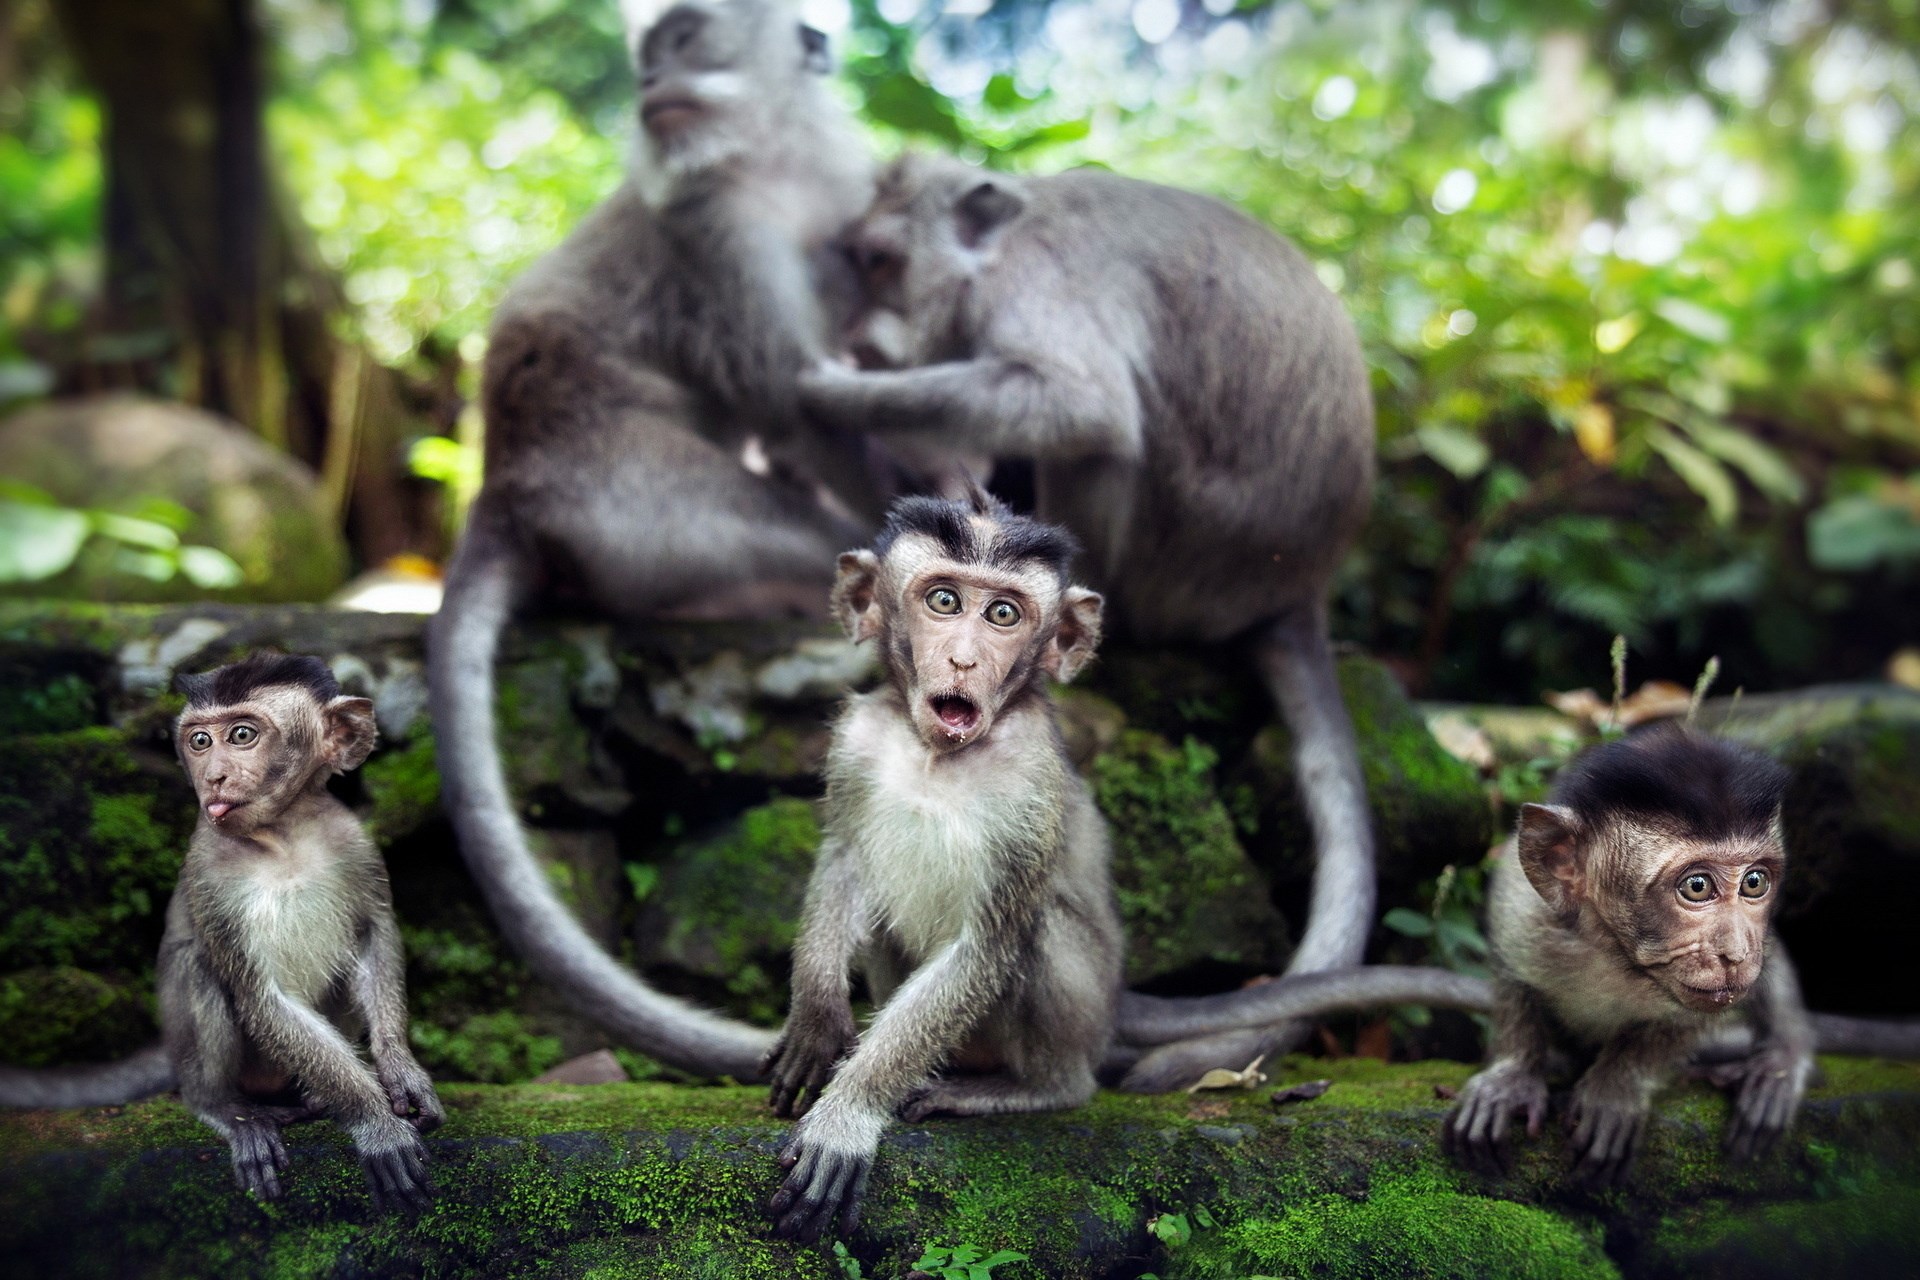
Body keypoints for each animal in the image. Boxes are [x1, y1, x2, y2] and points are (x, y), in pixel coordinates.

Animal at [0, 654, 443, 1210]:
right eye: (200, 741)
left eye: (241, 734)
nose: (213, 776)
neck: (283, 838)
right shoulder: (210, 870)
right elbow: (259, 995)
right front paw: (374, 1122)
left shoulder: (355, 844)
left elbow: (374, 938)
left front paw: (401, 1071)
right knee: (199, 968)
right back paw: (226, 1108)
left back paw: (315, 1095)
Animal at [427, 0, 890, 1079]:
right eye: (652, 48)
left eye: (681, 35)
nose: (647, 80)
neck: (771, 154)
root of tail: (505, 483)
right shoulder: (712, 230)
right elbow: (796, 395)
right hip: (636, 501)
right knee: (788, 529)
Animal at [762, 491, 1122, 1242]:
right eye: (945, 601)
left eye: (1003, 615)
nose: (962, 661)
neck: (939, 755)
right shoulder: (858, 739)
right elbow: (844, 857)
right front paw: (815, 1016)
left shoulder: (1030, 787)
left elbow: (986, 946)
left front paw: (849, 1114)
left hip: (1086, 1021)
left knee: (1037, 934)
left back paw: (1032, 1089)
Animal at [797, 152, 1379, 1083]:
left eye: (881, 260)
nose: (859, 334)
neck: (998, 243)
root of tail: (1300, 589)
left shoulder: (1035, 283)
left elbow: (1078, 404)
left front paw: (839, 391)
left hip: (1186, 567)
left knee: (1101, 445)